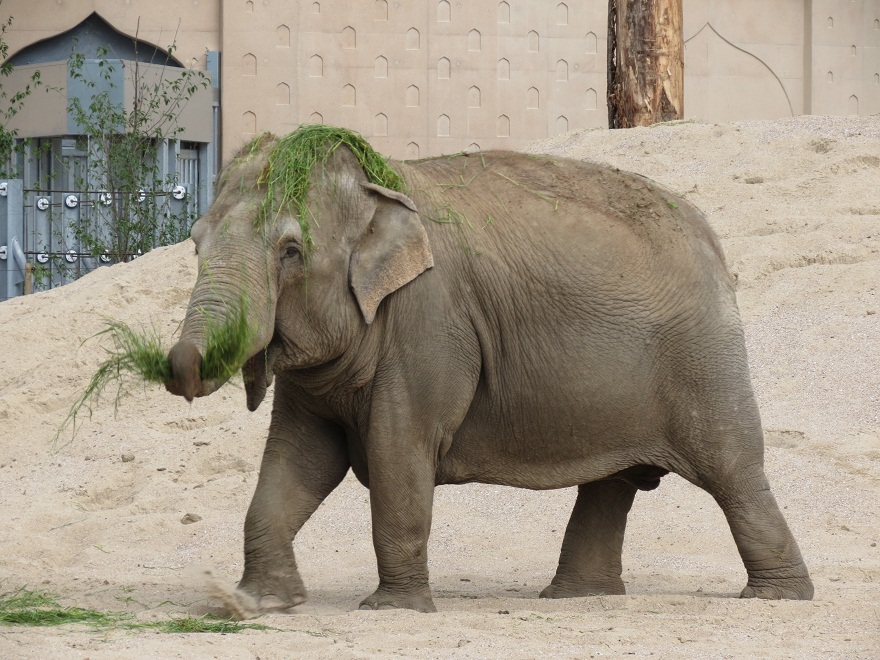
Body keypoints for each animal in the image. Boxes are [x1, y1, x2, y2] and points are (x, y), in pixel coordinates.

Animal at [164, 126, 813, 615]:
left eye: (291, 252)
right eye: (195, 243)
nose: (175, 366)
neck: (380, 181)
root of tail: (712, 238)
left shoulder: (426, 324)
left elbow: (399, 453)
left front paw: (393, 609)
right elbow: (297, 461)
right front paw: (255, 604)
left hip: (703, 356)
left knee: (733, 469)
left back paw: (779, 596)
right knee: (612, 483)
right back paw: (576, 597)